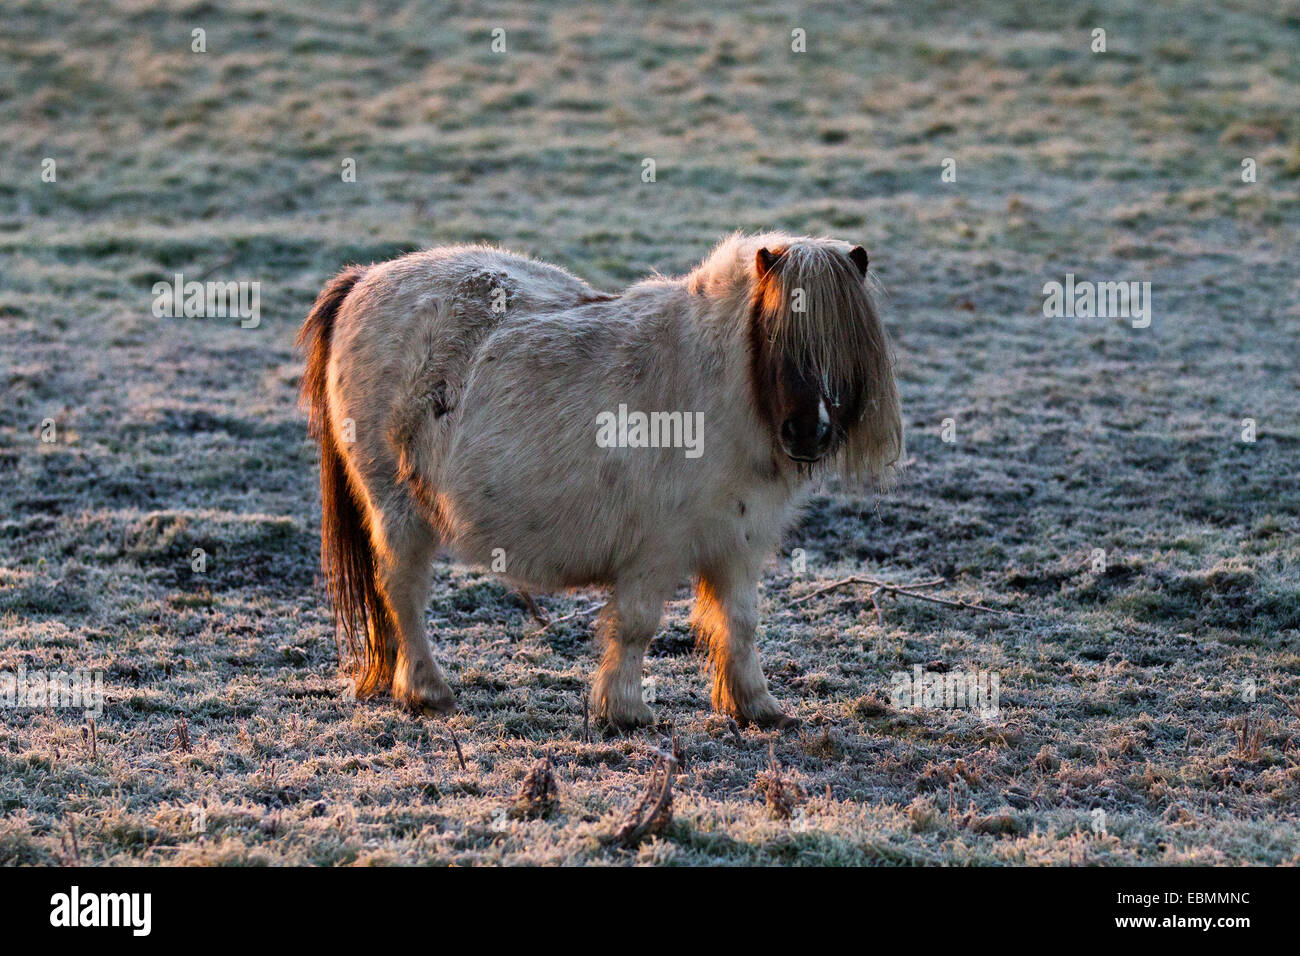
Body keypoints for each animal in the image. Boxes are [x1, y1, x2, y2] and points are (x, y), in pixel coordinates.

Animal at [297, 235, 899, 728]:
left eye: (845, 341)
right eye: (777, 336)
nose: (809, 433)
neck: (715, 391)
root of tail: (363, 279)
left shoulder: (739, 546)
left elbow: (742, 623)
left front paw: (755, 706)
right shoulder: (656, 549)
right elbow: (636, 624)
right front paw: (625, 711)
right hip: (397, 506)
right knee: (402, 592)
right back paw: (428, 691)